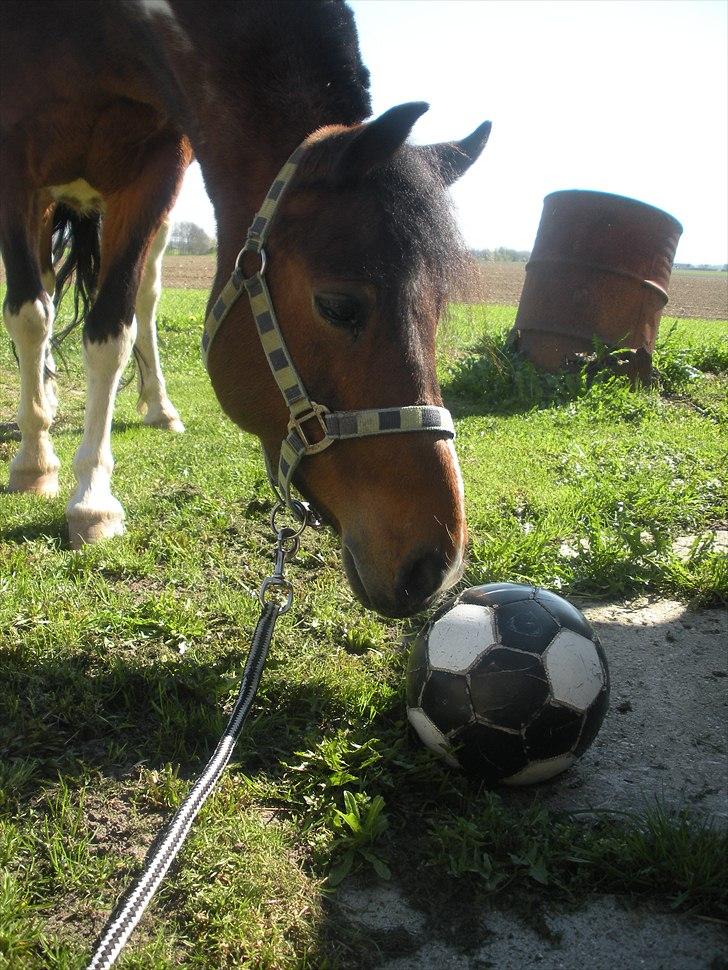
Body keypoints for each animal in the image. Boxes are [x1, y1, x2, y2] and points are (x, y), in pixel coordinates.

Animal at [1, 0, 490, 616]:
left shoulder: (155, 171)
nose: (435, 565)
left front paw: (92, 495)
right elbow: (29, 314)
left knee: (145, 295)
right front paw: (39, 467)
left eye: (438, 307)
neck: (102, 35)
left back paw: (156, 407)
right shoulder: (13, 163)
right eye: (339, 306)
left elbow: (112, 331)